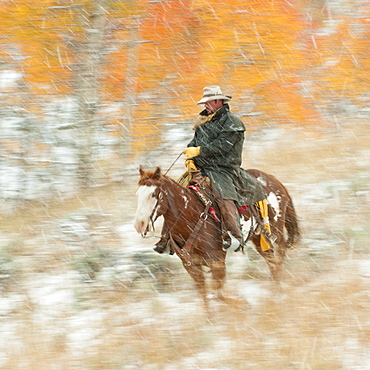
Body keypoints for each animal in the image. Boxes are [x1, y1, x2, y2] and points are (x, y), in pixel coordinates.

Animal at [134, 167, 300, 310]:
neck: (191, 215)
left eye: (153, 194)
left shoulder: (216, 260)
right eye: (138, 195)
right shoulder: (190, 264)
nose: (139, 224)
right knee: (271, 260)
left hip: (276, 229)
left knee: (279, 256)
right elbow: (205, 296)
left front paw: (243, 304)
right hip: (258, 237)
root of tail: (274, 180)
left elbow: (218, 294)